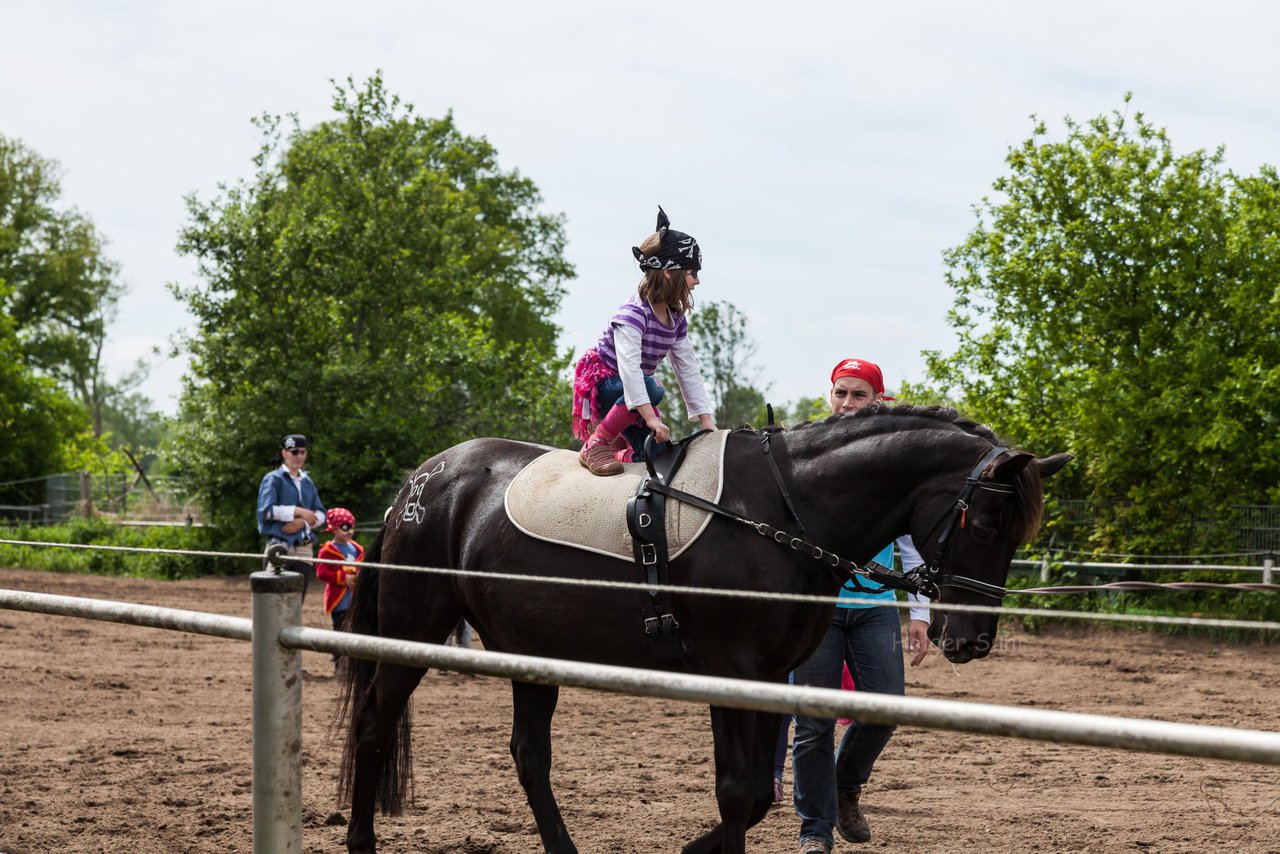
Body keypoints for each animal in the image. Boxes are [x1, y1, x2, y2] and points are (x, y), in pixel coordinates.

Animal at [337, 407, 1070, 854]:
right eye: (984, 525)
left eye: (1015, 535)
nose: (970, 641)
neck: (783, 512)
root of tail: (420, 483)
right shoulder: (731, 672)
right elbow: (737, 792)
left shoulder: (771, 678)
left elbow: (757, 797)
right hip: (412, 634)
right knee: (374, 726)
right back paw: (361, 841)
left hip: (531, 654)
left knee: (529, 756)